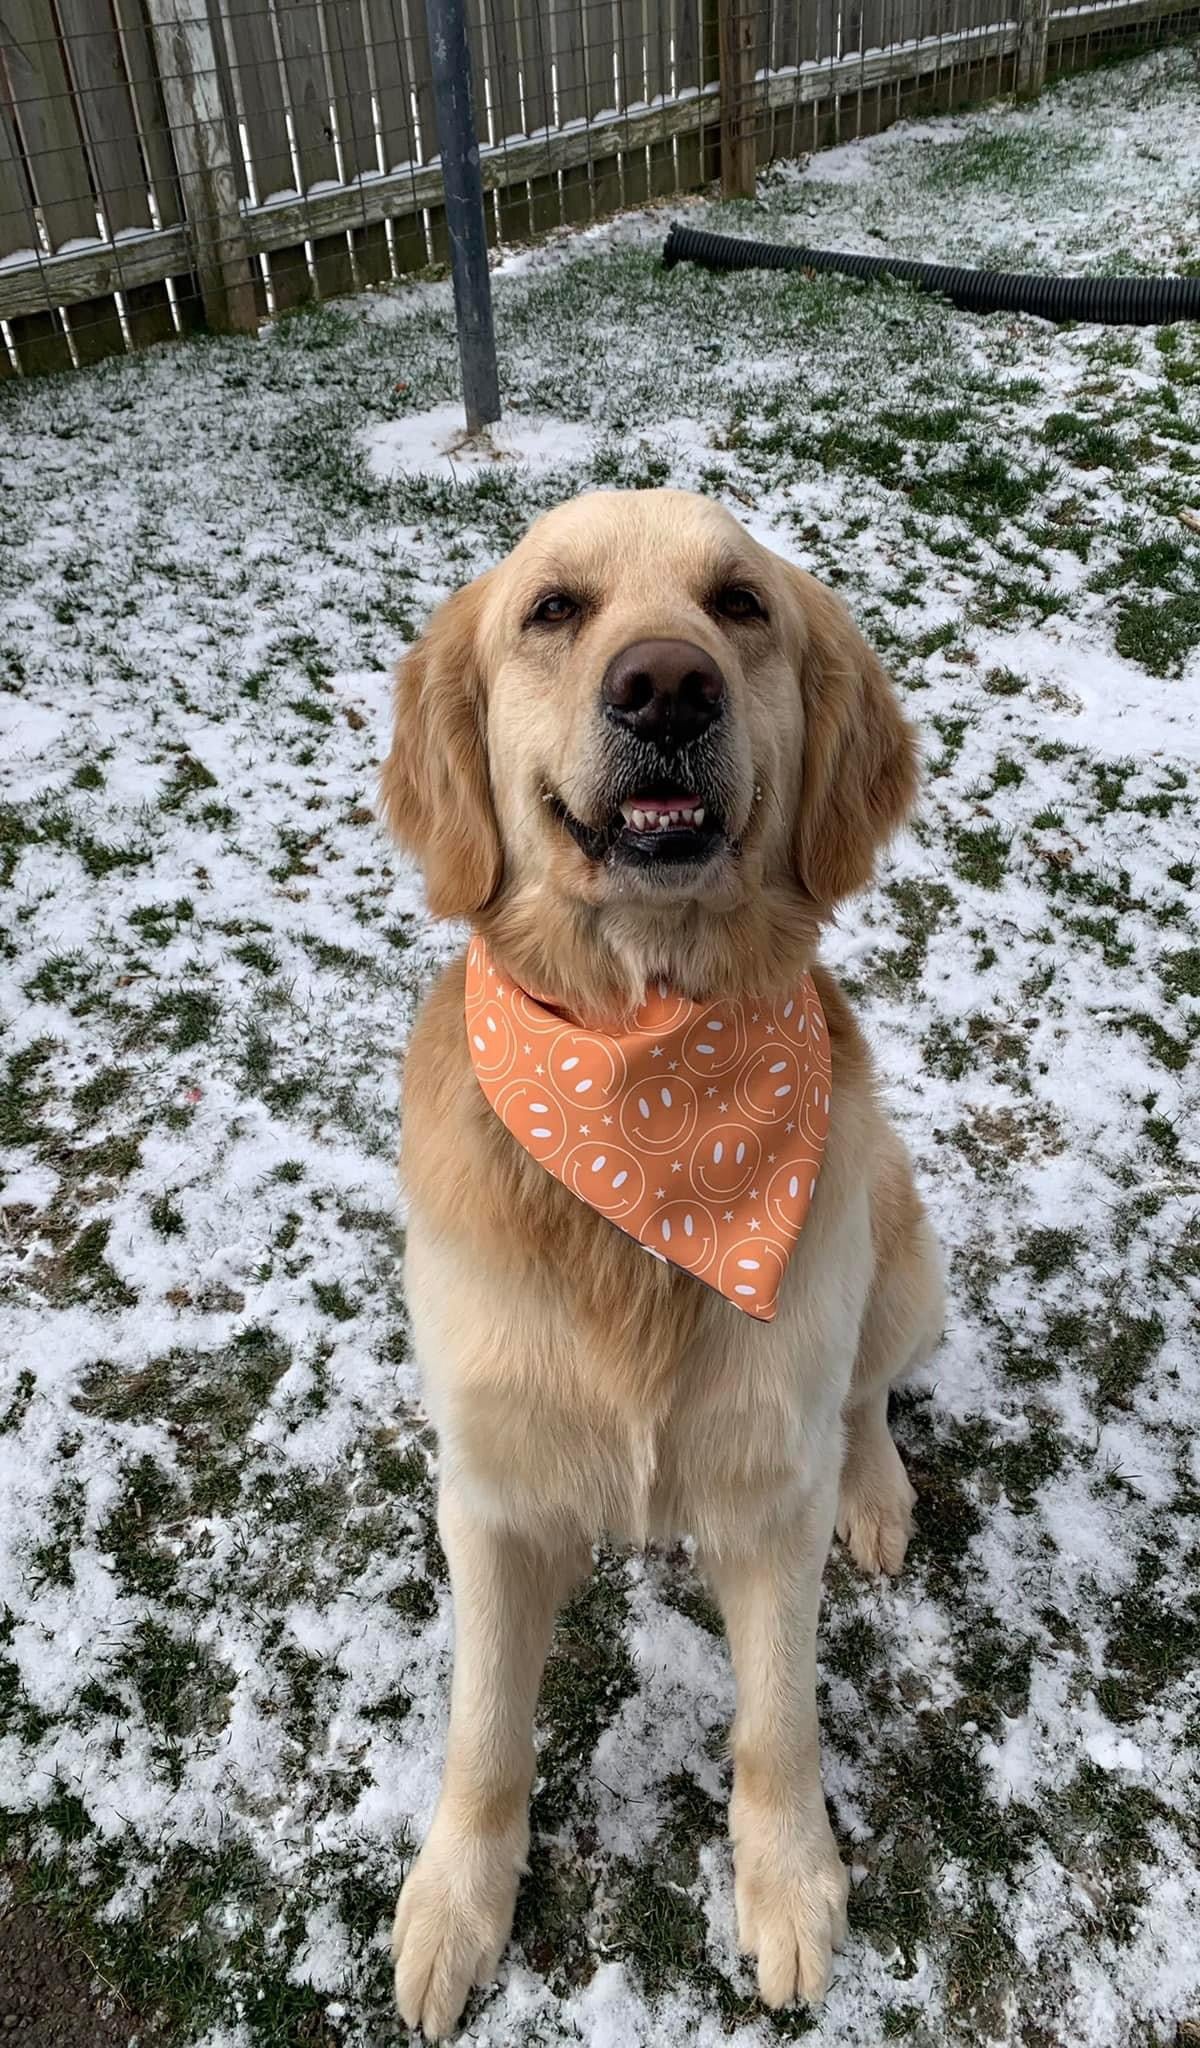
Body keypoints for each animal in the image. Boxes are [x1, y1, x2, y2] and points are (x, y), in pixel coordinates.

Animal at [378, 487, 937, 2039]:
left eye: (738, 605)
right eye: (553, 610)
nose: (667, 686)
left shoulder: (765, 1484)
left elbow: (777, 1722)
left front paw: (789, 1886)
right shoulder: (489, 1491)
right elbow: (486, 1732)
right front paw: (457, 1904)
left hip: (890, 1234)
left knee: (867, 1395)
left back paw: (879, 1491)